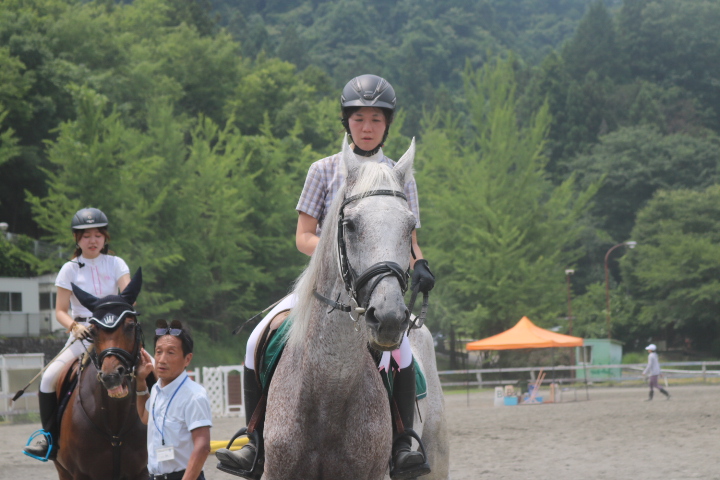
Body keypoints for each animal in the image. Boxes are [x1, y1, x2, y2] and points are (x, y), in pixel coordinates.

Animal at [53, 269, 149, 480]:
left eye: (130, 325)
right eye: (93, 330)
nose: (111, 376)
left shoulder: (141, 471)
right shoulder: (81, 474)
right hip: (62, 470)